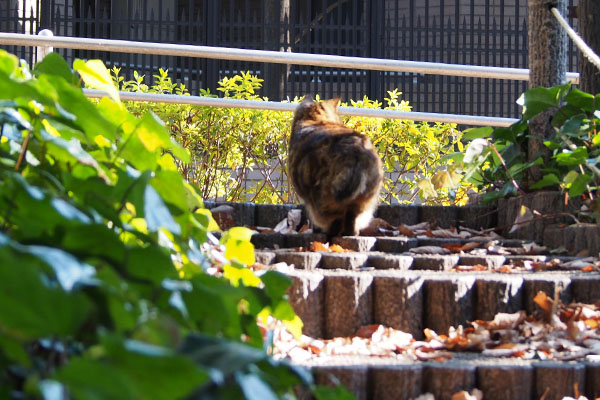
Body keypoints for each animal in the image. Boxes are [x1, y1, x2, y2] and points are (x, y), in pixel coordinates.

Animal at [288, 95, 382, 236]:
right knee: (351, 217)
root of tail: (355, 150)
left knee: (334, 218)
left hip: (322, 197)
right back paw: (350, 234)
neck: (314, 120)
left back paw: (329, 233)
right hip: (364, 199)